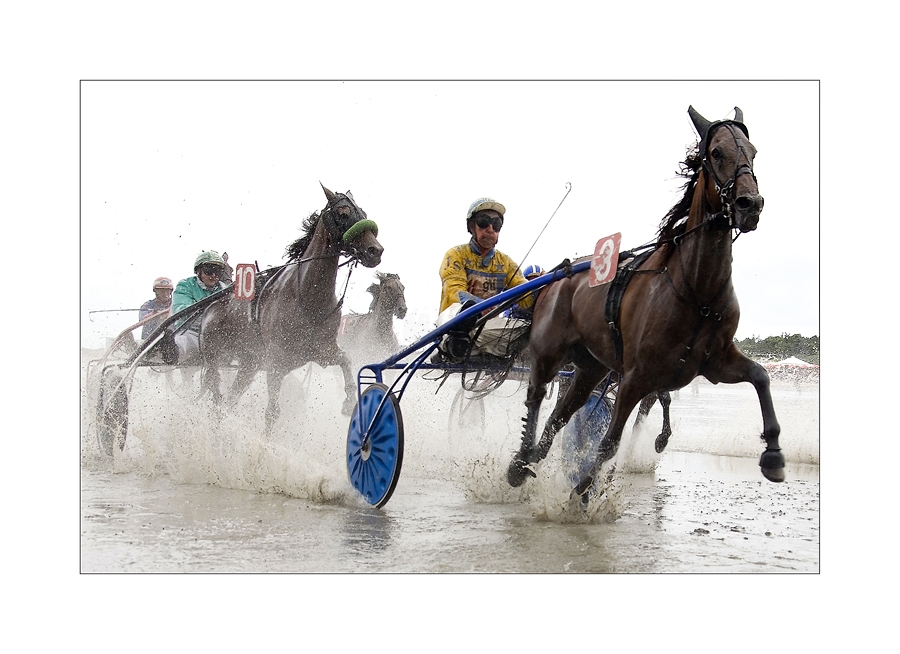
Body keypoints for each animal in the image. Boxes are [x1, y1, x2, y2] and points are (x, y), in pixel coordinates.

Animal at [200, 184, 384, 430]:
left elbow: (346, 360)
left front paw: (348, 402)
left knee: (229, 398)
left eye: (363, 213)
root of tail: (209, 308)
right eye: (344, 213)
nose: (376, 250)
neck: (307, 296)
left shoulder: (323, 351)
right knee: (216, 391)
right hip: (214, 357)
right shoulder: (276, 363)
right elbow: (272, 413)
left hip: (249, 365)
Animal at [510, 106, 784, 502]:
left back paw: (534, 454)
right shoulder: (636, 376)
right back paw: (519, 463)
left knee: (562, 412)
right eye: (716, 152)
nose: (750, 205)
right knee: (536, 395)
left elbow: (761, 376)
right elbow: (610, 441)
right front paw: (583, 491)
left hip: (590, 366)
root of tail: (558, 273)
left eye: (753, 151)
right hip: (549, 350)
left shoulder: (715, 363)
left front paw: (774, 454)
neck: (697, 291)